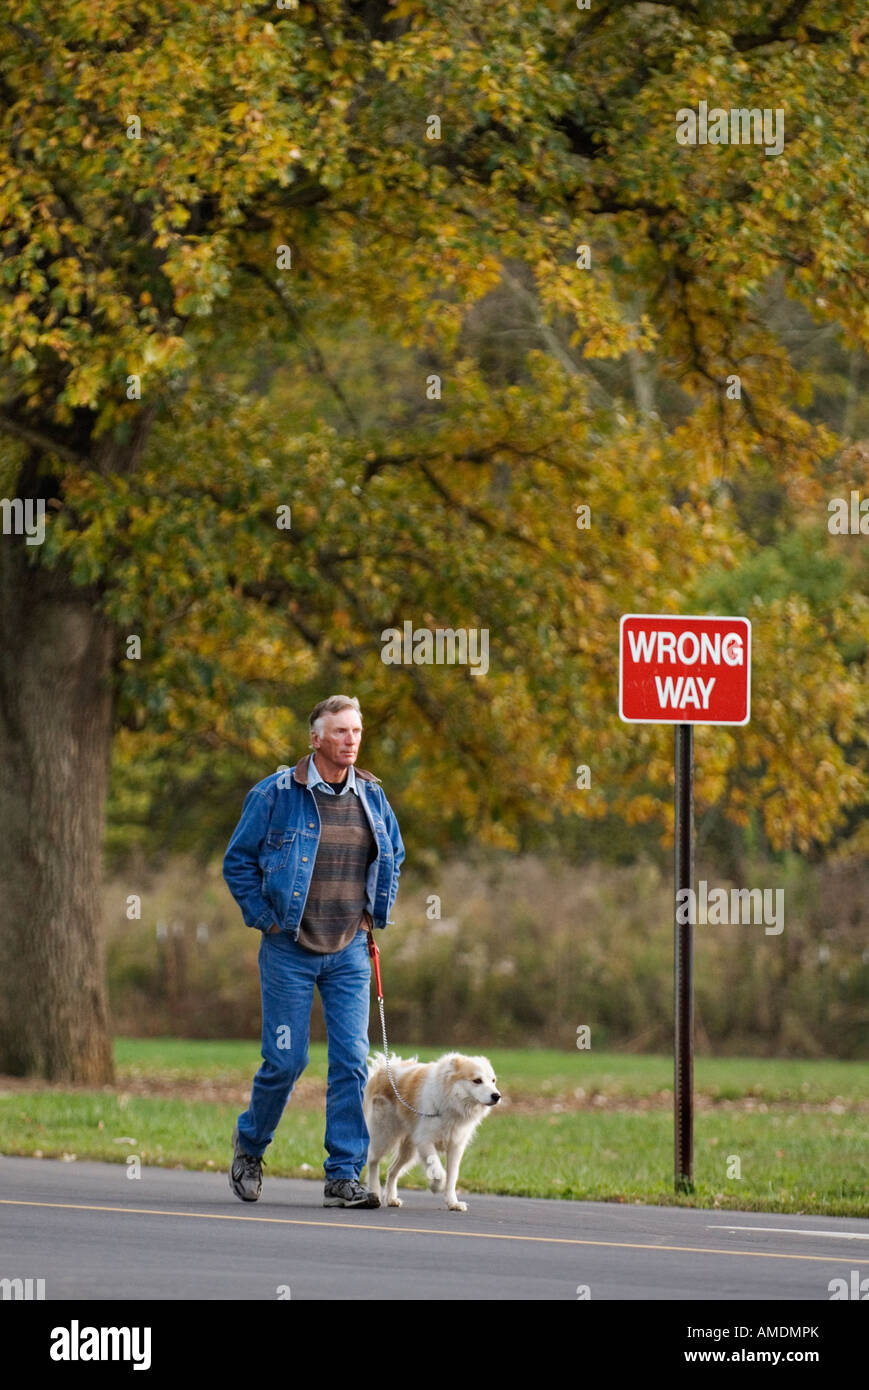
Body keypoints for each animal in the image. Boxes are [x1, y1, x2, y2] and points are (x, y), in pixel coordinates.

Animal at [361, 1045, 497, 1212]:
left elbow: (452, 1177)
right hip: (384, 1136)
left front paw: (453, 1203)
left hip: (409, 1151)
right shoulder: (425, 1142)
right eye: (477, 1081)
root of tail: (381, 1071)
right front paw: (435, 1186)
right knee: (372, 1161)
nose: (497, 1096)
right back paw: (375, 1191)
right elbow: (439, 1171)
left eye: (493, 1081)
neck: (450, 1100)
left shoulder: (455, 1147)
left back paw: (391, 1198)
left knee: (392, 1171)